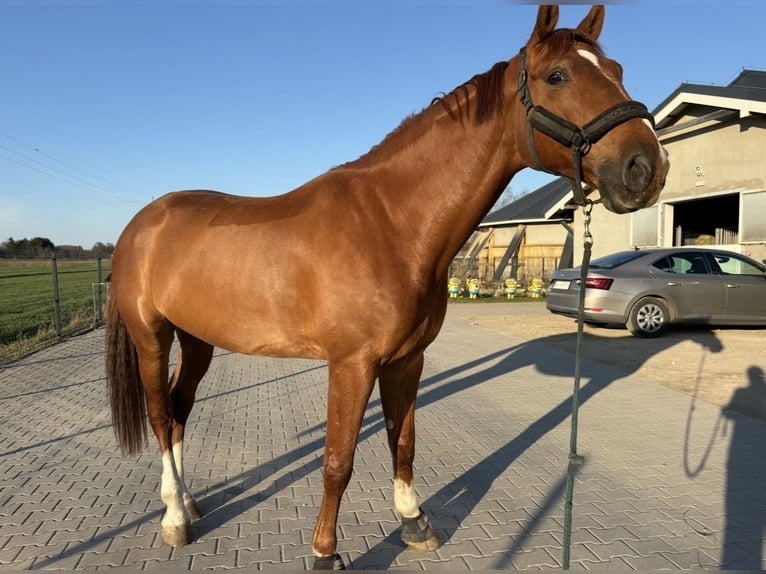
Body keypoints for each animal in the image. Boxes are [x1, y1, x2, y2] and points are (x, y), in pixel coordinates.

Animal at [106, 5, 669, 570]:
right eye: (557, 77)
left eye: (617, 70)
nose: (648, 168)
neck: (390, 224)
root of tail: (141, 224)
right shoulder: (352, 364)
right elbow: (338, 460)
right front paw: (325, 552)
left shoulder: (406, 359)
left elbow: (404, 441)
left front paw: (414, 522)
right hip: (151, 336)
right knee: (160, 415)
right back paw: (174, 517)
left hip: (198, 339)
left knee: (179, 411)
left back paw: (187, 502)